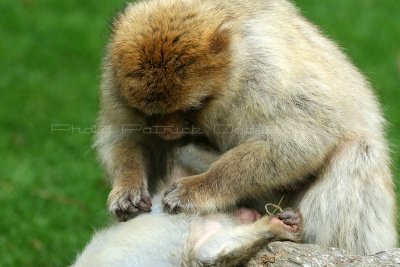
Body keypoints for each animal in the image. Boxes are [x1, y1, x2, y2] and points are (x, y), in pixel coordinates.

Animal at [96, 0, 396, 255]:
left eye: (192, 108)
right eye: (151, 113)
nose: (168, 132)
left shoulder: (264, 74)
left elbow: (300, 139)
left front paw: (198, 188)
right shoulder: (113, 79)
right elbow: (121, 134)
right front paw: (128, 186)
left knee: (358, 149)